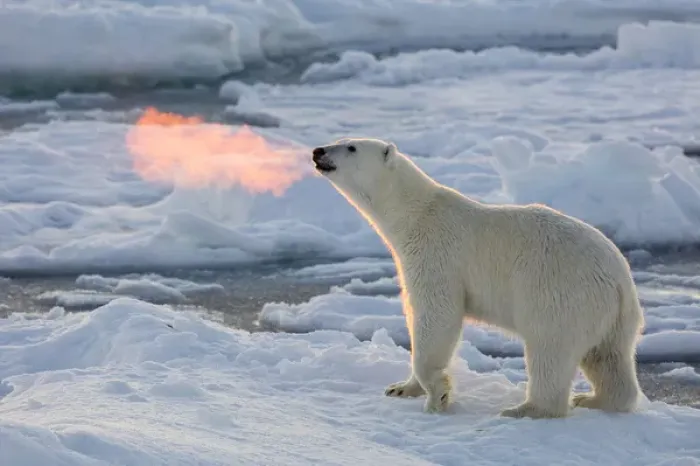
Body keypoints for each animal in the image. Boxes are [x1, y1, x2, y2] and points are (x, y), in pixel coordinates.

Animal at [311, 137, 644, 419]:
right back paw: (595, 399)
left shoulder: (437, 253)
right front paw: (401, 388)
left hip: (560, 293)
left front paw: (438, 395)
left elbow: (437, 314)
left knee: (550, 349)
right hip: (613, 317)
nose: (318, 151)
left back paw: (526, 409)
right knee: (608, 357)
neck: (414, 213)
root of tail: (619, 280)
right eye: (340, 139)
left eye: (351, 147)